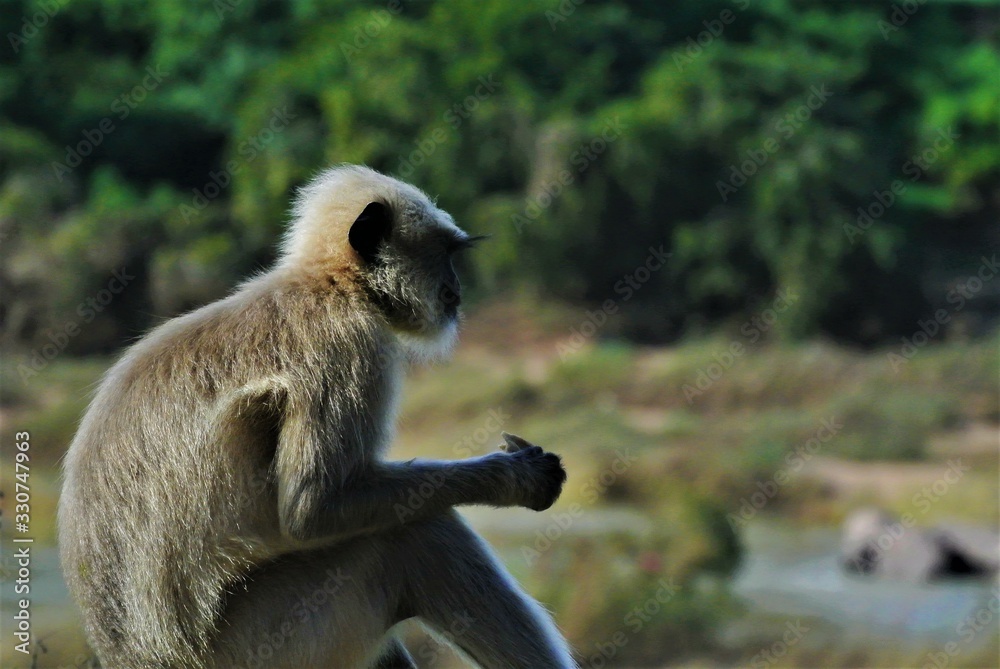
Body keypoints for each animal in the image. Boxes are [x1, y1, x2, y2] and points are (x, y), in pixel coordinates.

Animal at [58, 164, 576, 669]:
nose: (457, 291)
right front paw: (513, 477)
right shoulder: (346, 344)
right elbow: (314, 509)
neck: (332, 284)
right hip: (272, 639)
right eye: (444, 253)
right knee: (412, 535)